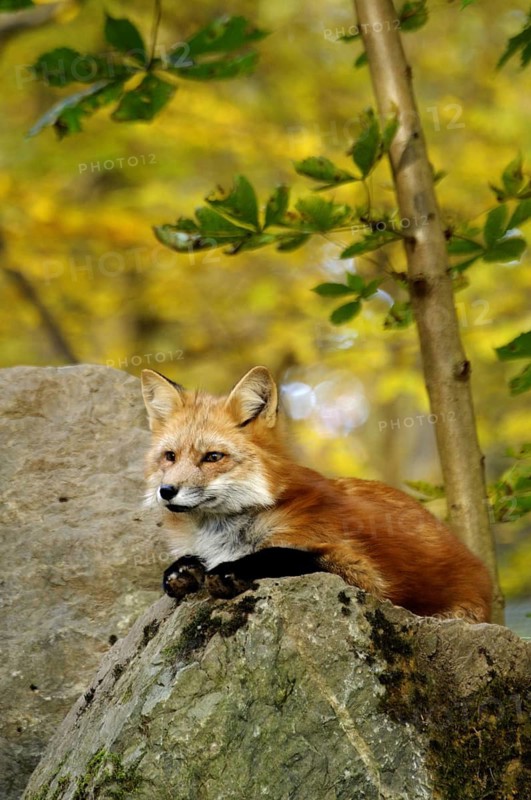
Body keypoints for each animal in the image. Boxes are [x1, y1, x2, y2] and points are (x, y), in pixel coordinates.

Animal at [141, 365, 493, 623]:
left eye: (213, 457)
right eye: (170, 456)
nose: (167, 491)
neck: (222, 537)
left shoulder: (363, 573)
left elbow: (280, 554)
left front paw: (230, 570)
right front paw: (183, 569)